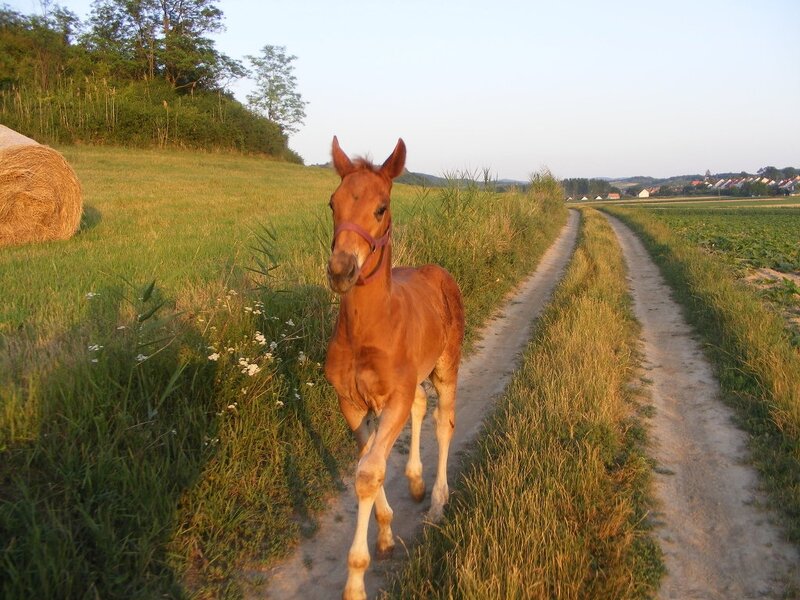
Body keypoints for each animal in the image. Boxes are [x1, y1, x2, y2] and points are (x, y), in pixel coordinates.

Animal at [324, 137, 465, 600]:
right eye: (332, 203)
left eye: (381, 207)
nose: (342, 269)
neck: (367, 331)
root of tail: (437, 272)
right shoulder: (351, 403)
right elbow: (369, 459)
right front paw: (385, 532)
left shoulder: (394, 399)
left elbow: (369, 472)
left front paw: (355, 580)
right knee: (422, 406)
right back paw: (417, 481)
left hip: (446, 365)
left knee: (443, 421)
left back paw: (437, 500)